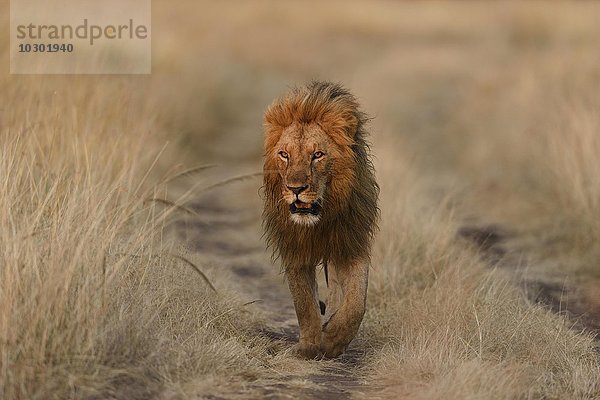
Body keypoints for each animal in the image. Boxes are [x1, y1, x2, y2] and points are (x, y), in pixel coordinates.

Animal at [264, 79, 380, 358]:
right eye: (284, 154)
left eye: (317, 155)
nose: (295, 188)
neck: (320, 219)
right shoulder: (294, 247)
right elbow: (304, 303)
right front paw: (308, 347)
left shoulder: (351, 242)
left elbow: (356, 304)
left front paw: (333, 341)